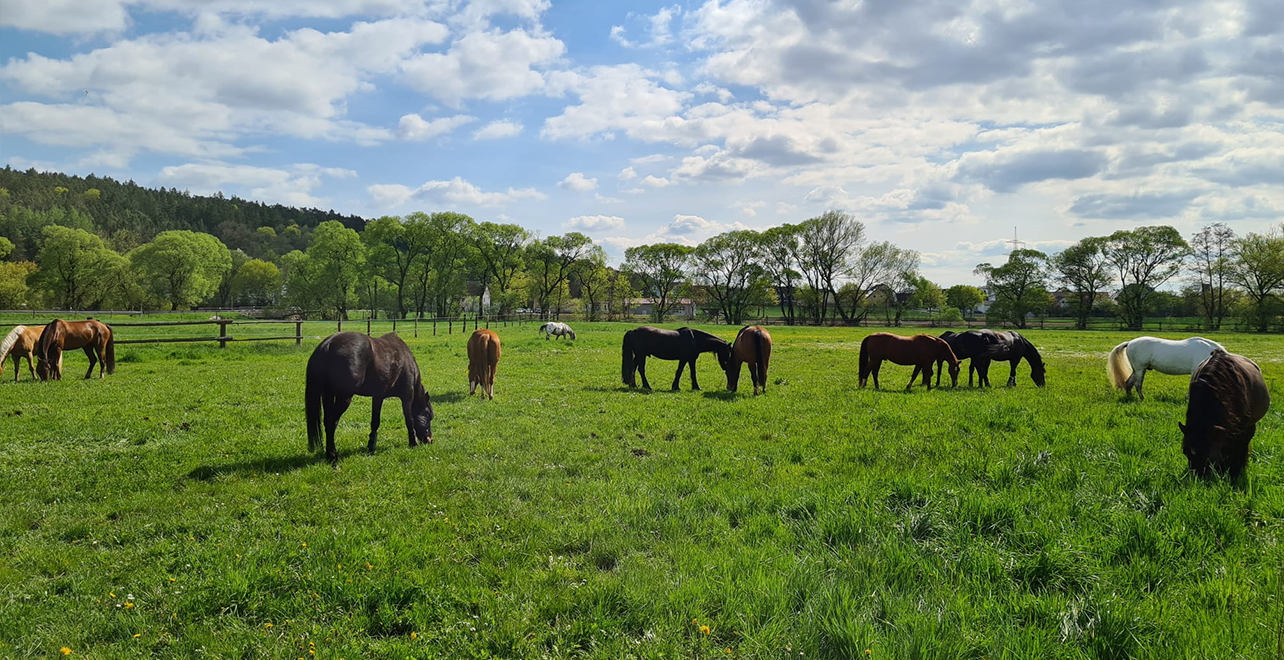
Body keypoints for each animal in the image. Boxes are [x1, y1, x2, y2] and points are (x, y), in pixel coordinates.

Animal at [305, 328, 436, 462]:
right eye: (428, 414)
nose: (430, 440)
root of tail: (327, 344)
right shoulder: (407, 396)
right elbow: (409, 419)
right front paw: (412, 443)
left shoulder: (378, 396)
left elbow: (375, 421)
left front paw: (371, 446)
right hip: (344, 398)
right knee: (332, 422)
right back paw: (333, 456)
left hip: (328, 396)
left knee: (327, 422)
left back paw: (329, 454)